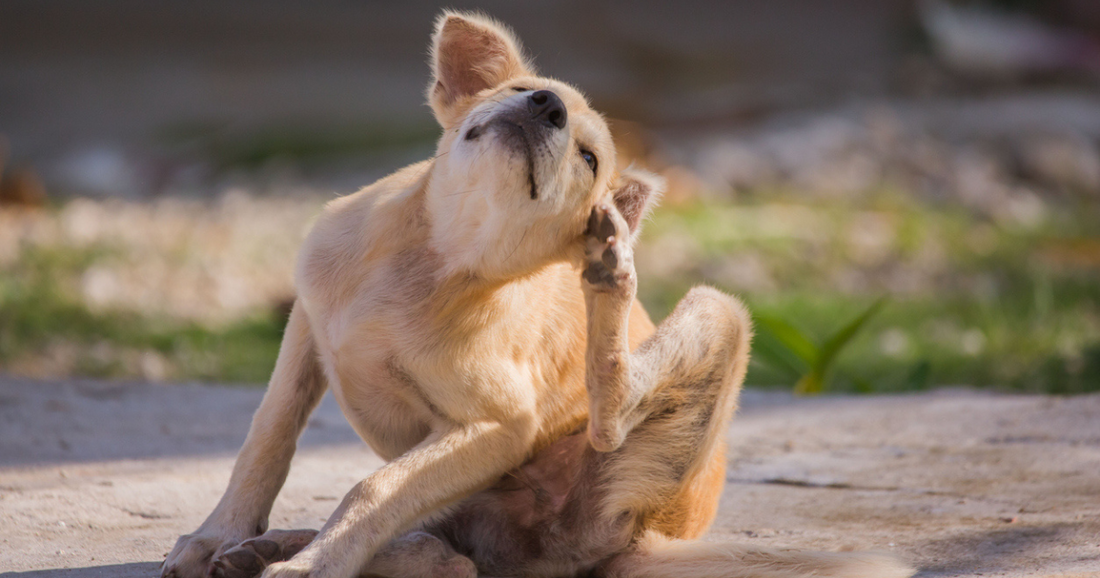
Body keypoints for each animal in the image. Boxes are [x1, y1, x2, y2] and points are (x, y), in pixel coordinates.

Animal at [162, 10, 915, 576]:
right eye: (527, 88)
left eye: (588, 157)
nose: (545, 105)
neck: (434, 258)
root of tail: (651, 541)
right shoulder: (306, 327)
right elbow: (267, 439)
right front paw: (217, 535)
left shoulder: (497, 427)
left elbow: (374, 488)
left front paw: (315, 565)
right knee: (443, 551)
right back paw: (268, 545)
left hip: (711, 325)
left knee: (580, 443)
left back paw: (611, 274)